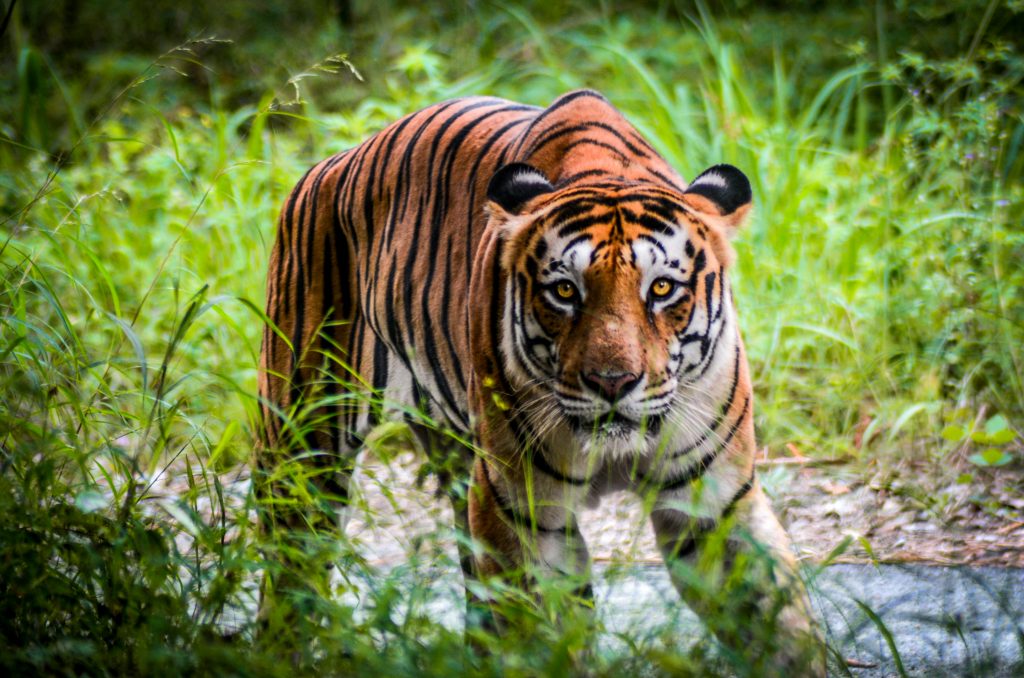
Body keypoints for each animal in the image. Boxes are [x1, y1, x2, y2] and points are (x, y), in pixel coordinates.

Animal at [258, 89, 823, 667]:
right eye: (565, 291)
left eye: (662, 288)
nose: (613, 383)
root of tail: (324, 168)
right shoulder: (520, 512)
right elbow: (540, 634)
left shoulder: (714, 507)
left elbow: (781, 625)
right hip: (303, 450)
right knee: (289, 576)